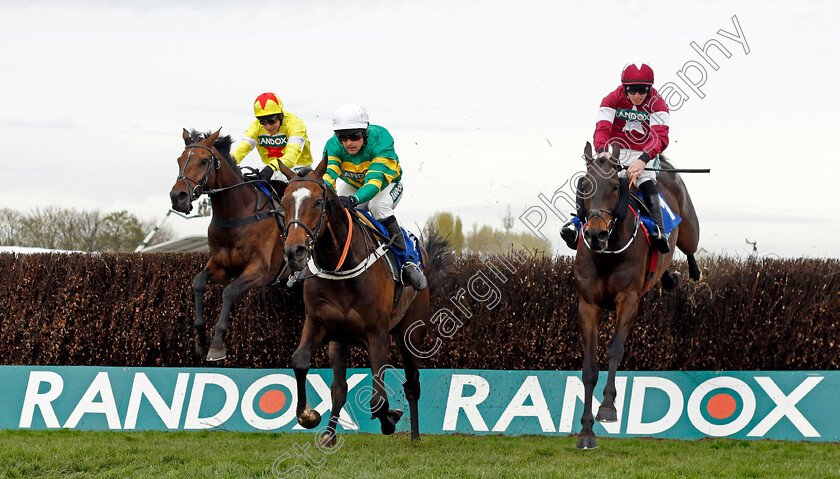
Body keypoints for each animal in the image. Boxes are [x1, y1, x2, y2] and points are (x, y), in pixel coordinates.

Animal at [169, 129, 290, 362]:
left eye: (204, 161)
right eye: (179, 160)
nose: (177, 197)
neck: (236, 214)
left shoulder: (261, 270)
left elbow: (230, 291)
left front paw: (216, 345)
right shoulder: (221, 265)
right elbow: (198, 283)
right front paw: (202, 339)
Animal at [274, 159, 446, 448]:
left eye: (318, 202)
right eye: (284, 202)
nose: (293, 252)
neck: (340, 263)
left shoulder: (377, 335)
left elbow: (378, 398)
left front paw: (390, 420)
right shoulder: (319, 323)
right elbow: (300, 362)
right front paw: (307, 416)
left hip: (410, 332)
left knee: (412, 384)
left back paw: (415, 435)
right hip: (340, 340)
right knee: (339, 389)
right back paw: (330, 434)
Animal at [572, 142, 704, 450]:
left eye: (614, 187)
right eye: (584, 185)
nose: (595, 235)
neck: (607, 253)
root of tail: (663, 169)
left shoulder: (629, 300)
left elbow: (615, 349)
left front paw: (608, 407)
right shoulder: (588, 305)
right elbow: (589, 367)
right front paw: (586, 431)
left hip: (689, 229)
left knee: (690, 247)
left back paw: (692, 271)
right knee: (666, 269)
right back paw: (669, 277)